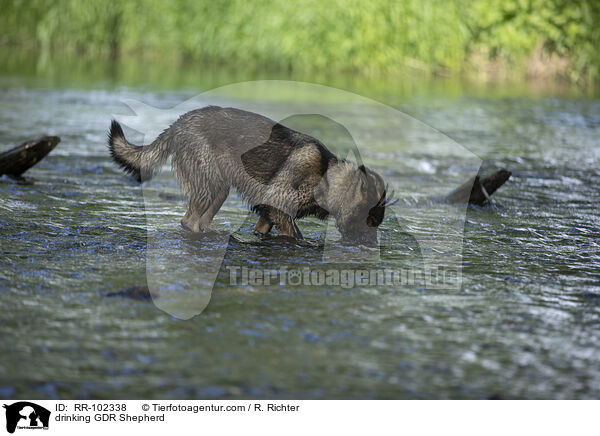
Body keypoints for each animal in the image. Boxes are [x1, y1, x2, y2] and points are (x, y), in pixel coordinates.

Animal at [109, 105, 390, 245]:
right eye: (368, 220)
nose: (370, 247)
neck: (327, 177)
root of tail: (177, 124)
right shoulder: (280, 208)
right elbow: (296, 235)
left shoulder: (268, 214)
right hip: (208, 185)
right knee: (190, 221)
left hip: (219, 190)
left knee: (201, 220)